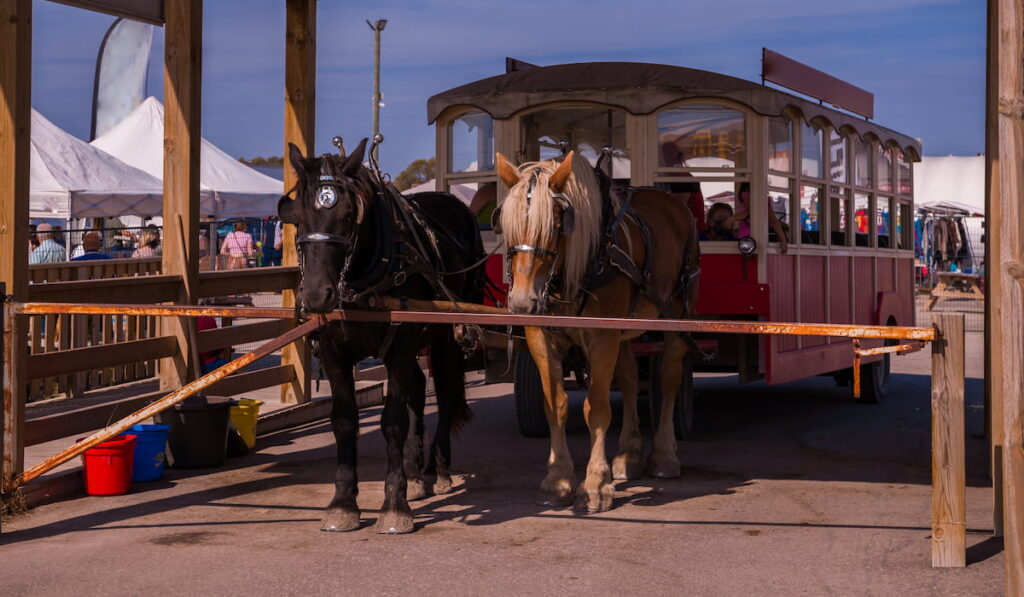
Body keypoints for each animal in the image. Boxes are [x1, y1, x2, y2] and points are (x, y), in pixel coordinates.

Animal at [278, 139, 485, 532]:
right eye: (296, 216)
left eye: (349, 215)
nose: (316, 295)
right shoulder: (333, 351)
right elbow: (344, 420)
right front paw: (342, 503)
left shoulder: (400, 344)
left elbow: (393, 422)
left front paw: (394, 506)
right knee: (419, 387)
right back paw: (416, 474)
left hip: (446, 333)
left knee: (446, 390)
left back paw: (438, 470)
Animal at [497, 150, 704, 514]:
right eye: (507, 224)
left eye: (556, 224)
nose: (521, 302)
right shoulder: (541, 335)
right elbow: (555, 404)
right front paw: (558, 480)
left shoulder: (602, 336)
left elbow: (596, 408)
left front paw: (594, 485)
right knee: (631, 380)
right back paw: (628, 455)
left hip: (677, 316)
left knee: (668, 379)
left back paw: (664, 456)